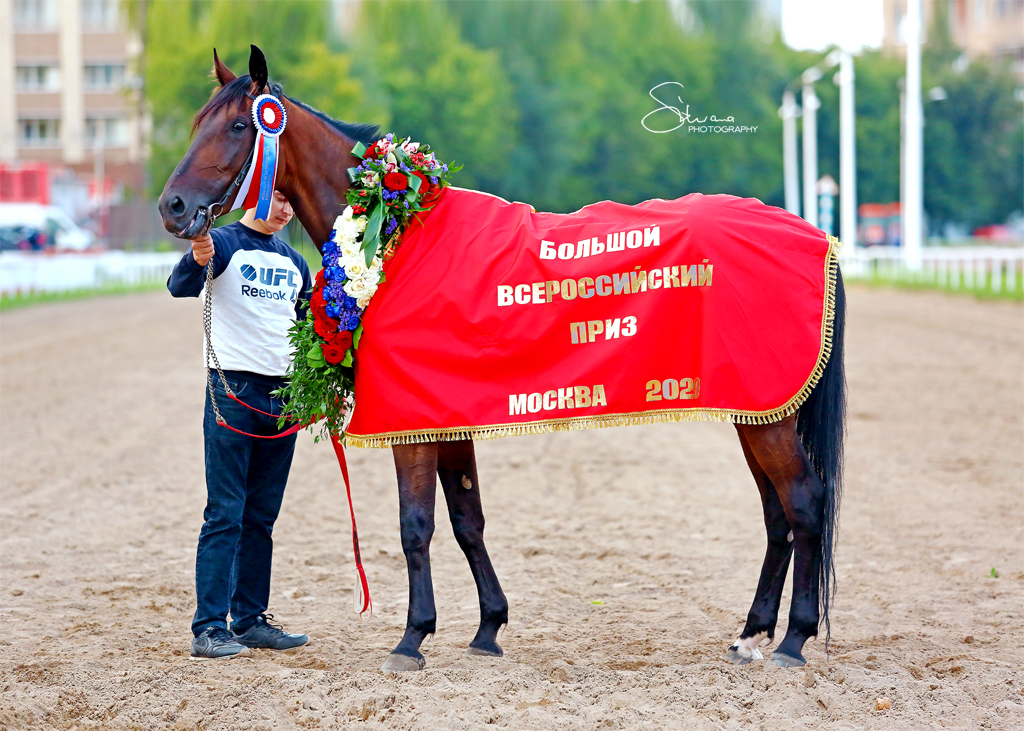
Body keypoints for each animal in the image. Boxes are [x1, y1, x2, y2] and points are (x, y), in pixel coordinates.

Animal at [161, 47, 847, 671]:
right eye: (197, 122)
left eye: (241, 126)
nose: (173, 207)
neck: (394, 231)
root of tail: (812, 235)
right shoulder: (445, 416)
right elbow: (468, 519)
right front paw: (487, 626)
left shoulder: (410, 422)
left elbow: (416, 525)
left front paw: (412, 638)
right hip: (755, 408)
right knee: (778, 515)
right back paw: (752, 635)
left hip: (770, 413)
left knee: (804, 502)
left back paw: (793, 640)